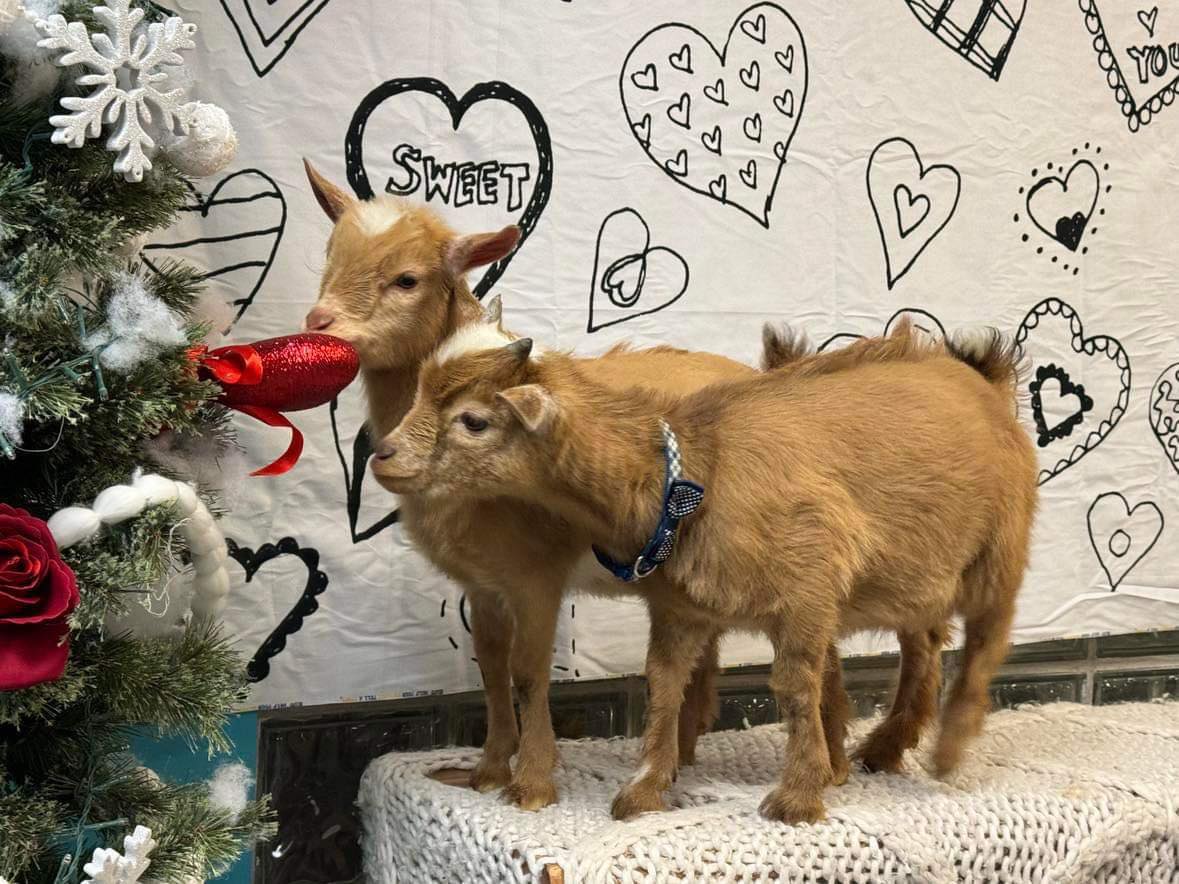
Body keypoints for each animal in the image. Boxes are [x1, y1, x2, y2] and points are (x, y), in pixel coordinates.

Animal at [374, 319, 1037, 823]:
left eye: (474, 420)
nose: (382, 457)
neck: (693, 471)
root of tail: (979, 376)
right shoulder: (680, 610)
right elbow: (664, 684)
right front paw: (644, 788)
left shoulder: (808, 590)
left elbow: (792, 686)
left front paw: (797, 797)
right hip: (914, 579)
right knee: (925, 643)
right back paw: (879, 749)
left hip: (1000, 549)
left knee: (988, 638)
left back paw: (948, 747)